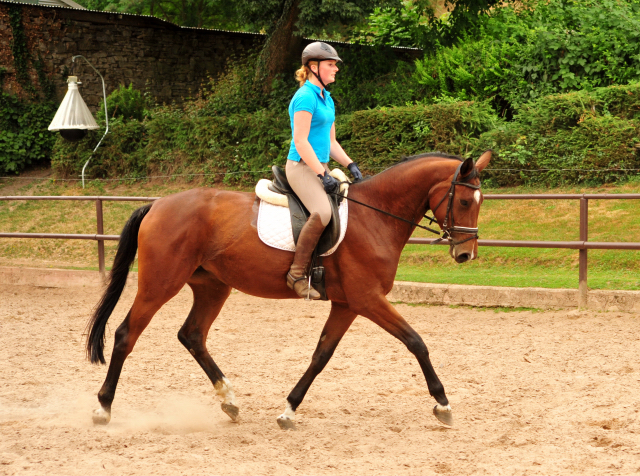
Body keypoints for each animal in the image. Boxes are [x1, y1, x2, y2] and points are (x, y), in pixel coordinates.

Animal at [87, 151, 492, 430]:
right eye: (464, 201)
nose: (466, 254)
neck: (376, 215)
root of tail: (158, 204)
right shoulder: (368, 300)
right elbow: (416, 342)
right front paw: (443, 404)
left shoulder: (347, 305)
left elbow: (320, 356)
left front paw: (288, 410)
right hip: (160, 284)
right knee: (126, 334)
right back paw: (103, 408)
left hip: (213, 286)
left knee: (192, 335)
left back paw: (230, 401)